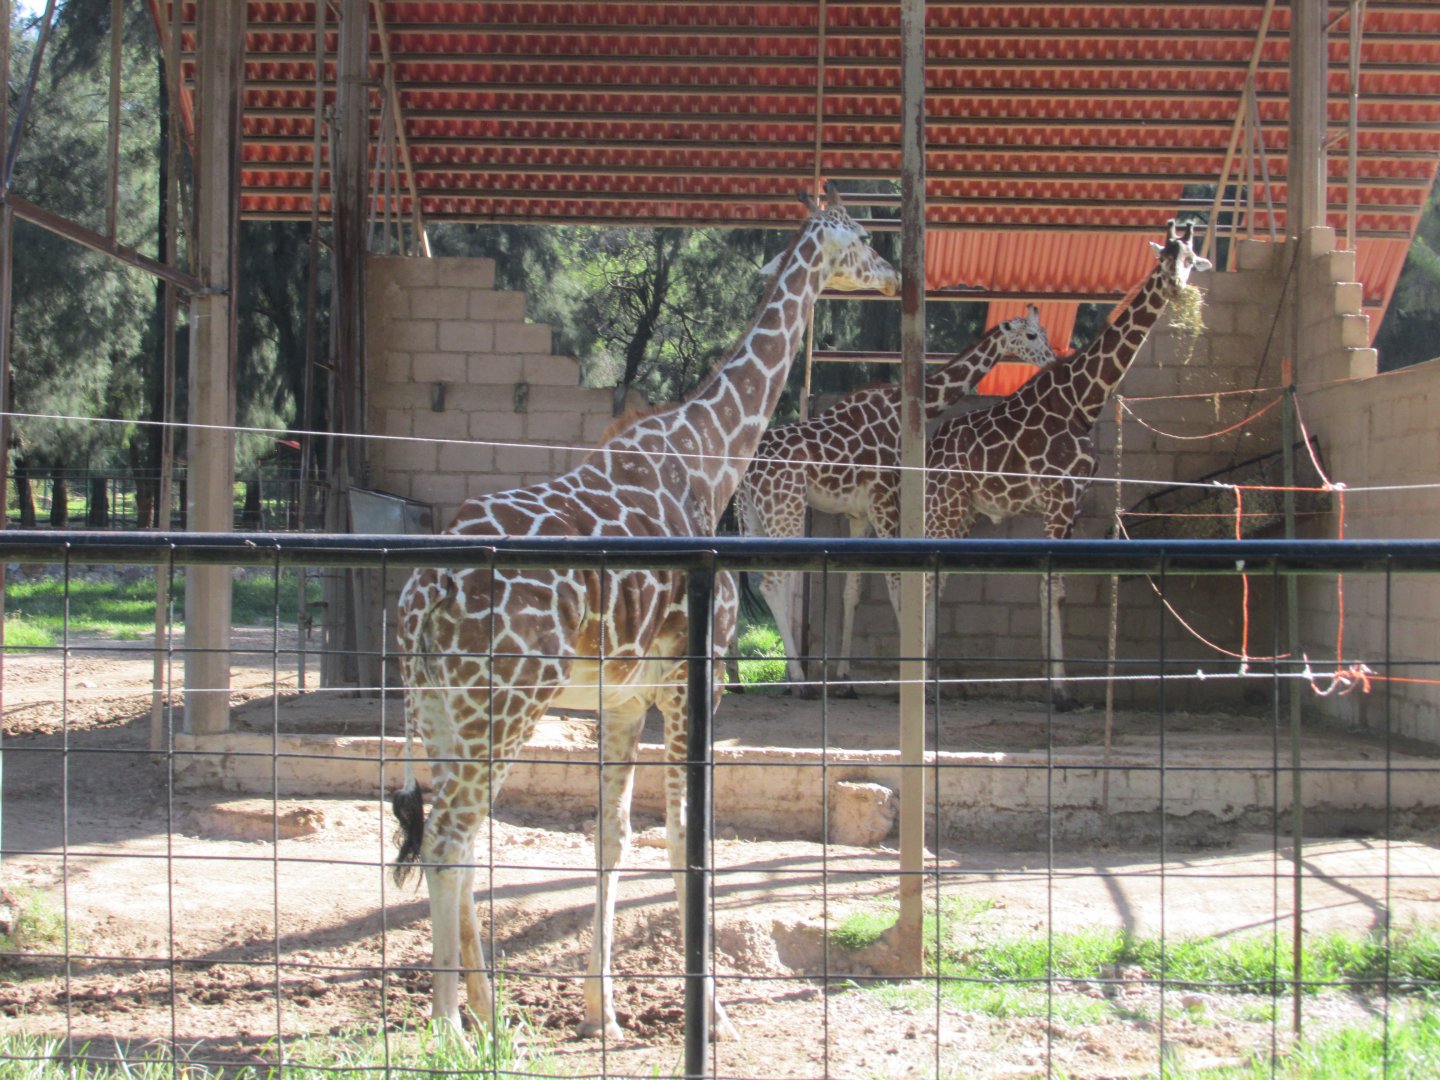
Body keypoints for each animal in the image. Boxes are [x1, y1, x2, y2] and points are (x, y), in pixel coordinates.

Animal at [391, 184, 899, 1040]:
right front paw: (713, 1017)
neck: (712, 454)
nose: (895, 276)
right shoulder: (698, 682)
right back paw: (451, 1031)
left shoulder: (623, 701)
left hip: (441, 712)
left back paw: (491, 1016)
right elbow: (687, 840)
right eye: (861, 235)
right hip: (503, 707)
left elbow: (613, 840)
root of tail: (419, 600)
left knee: (451, 833)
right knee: (450, 839)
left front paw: (605, 1013)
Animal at [736, 307, 1056, 694]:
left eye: (1045, 332)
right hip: (785, 507)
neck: (908, 407)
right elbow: (895, 582)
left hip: (753, 514)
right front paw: (913, 670)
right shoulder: (886, 500)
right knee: (772, 584)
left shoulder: (860, 515)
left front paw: (845, 677)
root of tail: (749, 468)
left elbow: (853, 590)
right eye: (1031, 336)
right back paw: (798, 679)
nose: (1053, 360)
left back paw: (743, 678)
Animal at [924, 220, 1212, 709]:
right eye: (1163, 258)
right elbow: (1049, 584)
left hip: (965, 511)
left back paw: (934, 674)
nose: (1175, 285)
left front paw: (1062, 686)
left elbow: (1057, 589)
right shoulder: (1057, 499)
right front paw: (1058, 689)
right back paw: (920, 679)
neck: (1084, 399)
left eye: (1191, 259)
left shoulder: (1074, 500)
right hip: (944, 505)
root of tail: (929, 452)